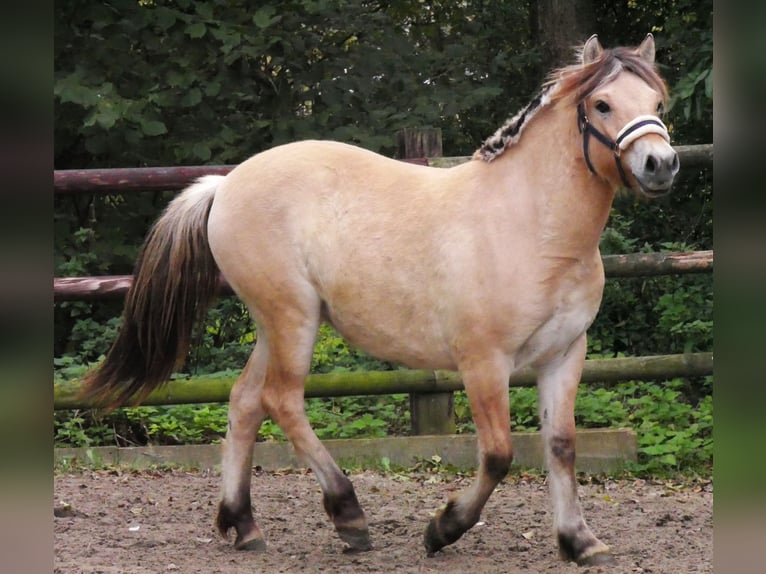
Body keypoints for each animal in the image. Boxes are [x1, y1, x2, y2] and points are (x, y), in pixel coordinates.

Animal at [82, 34, 678, 566]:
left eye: (657, 103)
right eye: (602, 104)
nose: (661, 164)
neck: (533, 226)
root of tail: (223, 186)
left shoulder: (564, 355)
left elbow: (561, 446)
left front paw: (580, 542)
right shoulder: (484, 363)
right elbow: (498, 455)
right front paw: (443, 529)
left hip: (274, 325)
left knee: (244, 401)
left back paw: (244, 525)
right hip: (292, 319)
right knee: (282, 400)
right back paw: (348, 516)